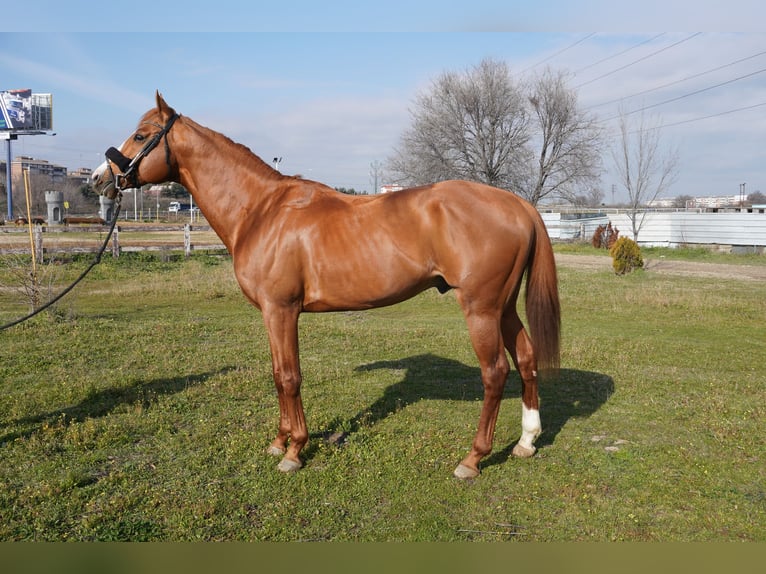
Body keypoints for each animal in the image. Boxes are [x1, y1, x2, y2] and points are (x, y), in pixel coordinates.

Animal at [91, 93, 564, 482]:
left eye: (141, 135)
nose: (99, 178)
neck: (261, 211)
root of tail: (518, 204)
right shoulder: (272, 314)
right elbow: (277, 374)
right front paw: (279, 442)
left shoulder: (281, 309)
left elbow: (289, 377)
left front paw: (294, 451)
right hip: (503, 307)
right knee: (525, 358)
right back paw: (526, 441)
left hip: (481, 309)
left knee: (495, 372)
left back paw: (472, 459)